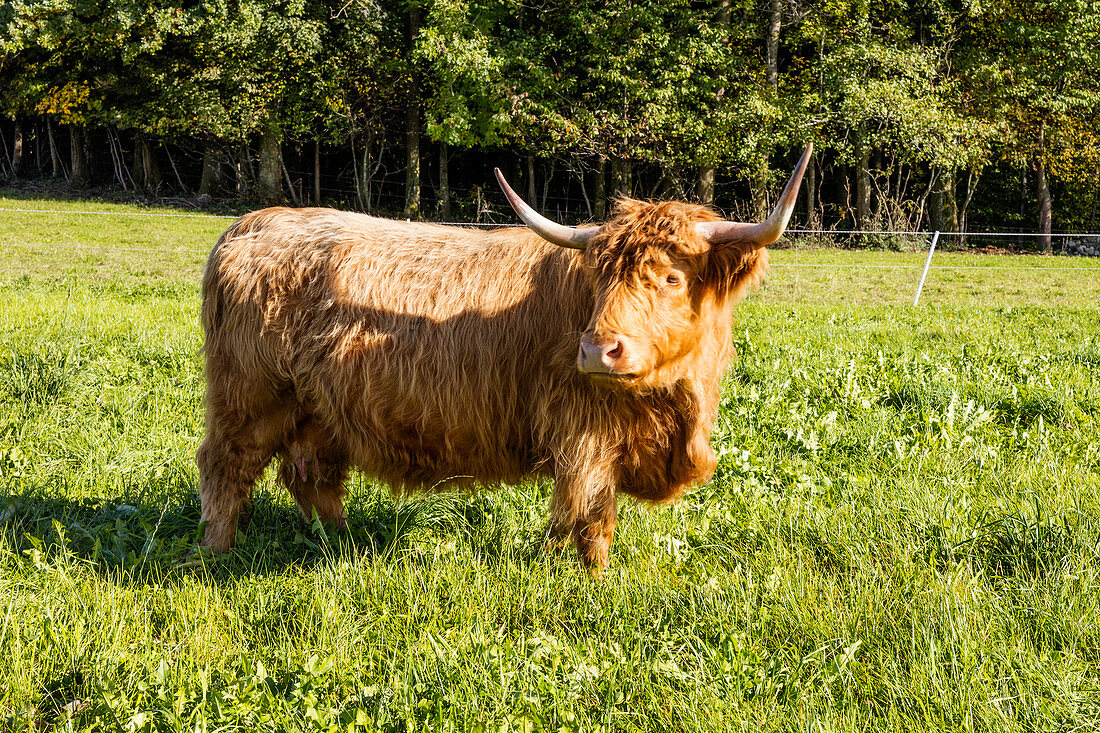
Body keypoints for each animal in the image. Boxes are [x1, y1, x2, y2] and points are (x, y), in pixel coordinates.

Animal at [198, 140, 814, 563]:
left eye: (671, 277)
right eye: (601, 277)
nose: (598, 351)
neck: (673, 407)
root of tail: (254, 224)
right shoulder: (586, 436)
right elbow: (594, 514)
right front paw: (596, 581)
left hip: (319, 409)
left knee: (311, 473)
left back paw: (342, 545)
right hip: (248, 396)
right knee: (226, 465)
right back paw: (215, 553)